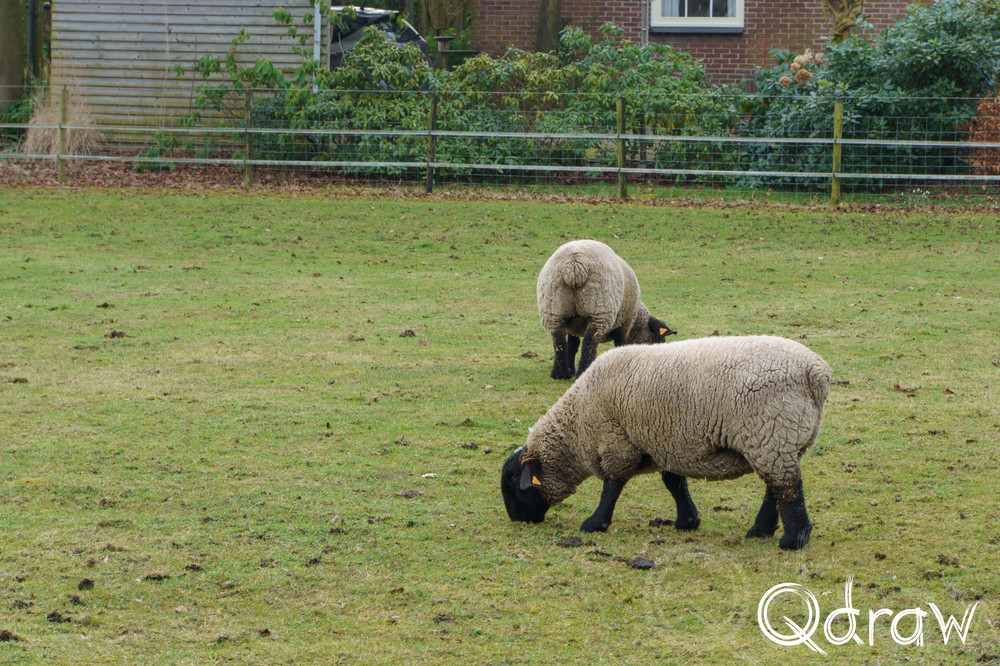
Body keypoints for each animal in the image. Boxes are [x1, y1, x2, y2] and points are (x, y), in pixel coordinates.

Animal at [501, 335, 831, 550]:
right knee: (775, 487)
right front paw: (687, 520)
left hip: (772, 431)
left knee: (786, 487)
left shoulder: (617, 441)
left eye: (515, 479)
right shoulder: (664, 443)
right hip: (778, 439)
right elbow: (674, 483)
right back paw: (760, 531)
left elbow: (612, 485)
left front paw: (595, 523)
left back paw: (793, 540)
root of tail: (815, 372)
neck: (577, 424)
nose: (516, 519)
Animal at [536, 239, 676, 379]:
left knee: (558, 340)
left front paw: (570, 370)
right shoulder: (626, 321)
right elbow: (620, 343)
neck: (636, 322)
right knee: (590, 341)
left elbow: (572, 344)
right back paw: (584, 370)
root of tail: (574, 266)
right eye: (658, 341)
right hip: (599, 310)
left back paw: (560, 374)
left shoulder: (572, 324)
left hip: (553, 310)